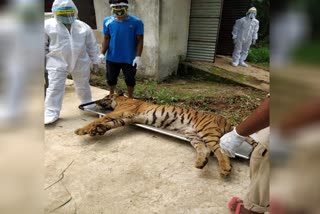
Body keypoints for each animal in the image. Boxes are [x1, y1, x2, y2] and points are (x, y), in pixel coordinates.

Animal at [74, 93, 258, 176]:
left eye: (105, 96)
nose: (97, 101)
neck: (122, 100)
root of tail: (225, 120)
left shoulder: (120, 113)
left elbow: (101, 118)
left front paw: (82, 130)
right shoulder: (124, 118)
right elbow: (106, 124)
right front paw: (96, 130)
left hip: (208, 132)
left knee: (220, 151)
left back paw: (225, 168)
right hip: (194, 136)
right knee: (204, 150)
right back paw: (200, 163)